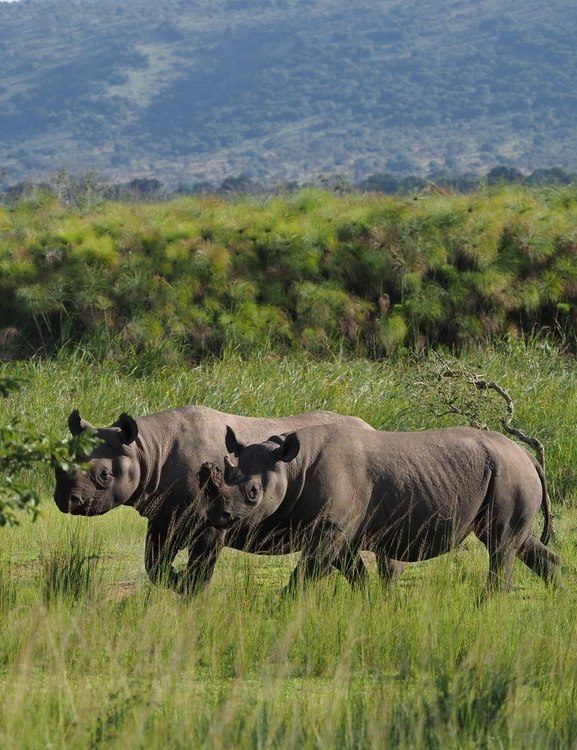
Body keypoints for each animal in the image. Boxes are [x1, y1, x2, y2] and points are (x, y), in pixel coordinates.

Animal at [53, 406, 386, 593]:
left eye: (104, 476)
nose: (66, 501)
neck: (147, 448)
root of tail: (372, 428)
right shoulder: (164, 514)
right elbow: (153, 564)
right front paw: (178, 583)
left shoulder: (209, 521)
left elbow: (201, 564)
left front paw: (191, 591)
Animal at [212, 423, 562, 596]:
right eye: (227, 475)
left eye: (254, 493)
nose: (222, 516)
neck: (291, 464)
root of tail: (527, 456)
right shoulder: (338, 530)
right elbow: (353, 573)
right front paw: (371, 604)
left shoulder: (331, 527)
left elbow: (308, 570)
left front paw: (280, 607)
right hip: (509, 472)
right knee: (517, 543)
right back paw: (558, 600)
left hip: (510, 473)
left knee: (500, 545)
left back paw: (484, 606)